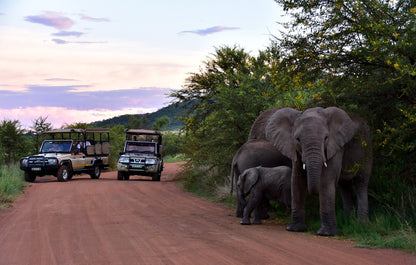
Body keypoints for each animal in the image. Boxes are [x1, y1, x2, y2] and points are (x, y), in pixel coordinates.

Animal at [262, 106, 372, 235]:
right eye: (297, 139)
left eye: (326, 138)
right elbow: (297, 179)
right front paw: (295, 229)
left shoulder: (335, 145)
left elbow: (326, 179)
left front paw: (326, 234)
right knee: (344, 186)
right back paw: (348, 223)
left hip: (367, 149)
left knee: (361, 183)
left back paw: (362, 225)